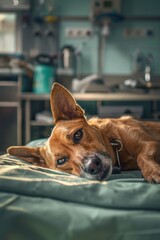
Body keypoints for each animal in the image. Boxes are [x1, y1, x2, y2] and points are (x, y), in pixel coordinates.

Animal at [7, 83, 160, 183]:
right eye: (61, 161)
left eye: (78, 135)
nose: (92, 166)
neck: (114, 142)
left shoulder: (150, 144)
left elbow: (142, 156)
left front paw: (152, 171)